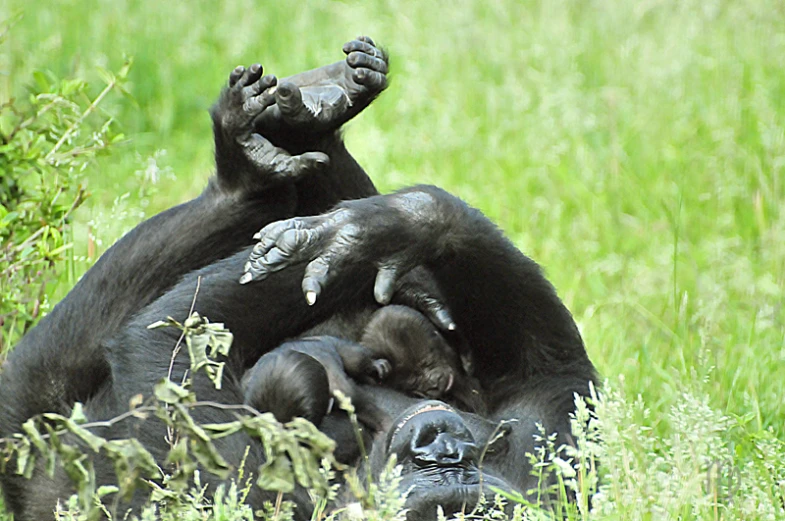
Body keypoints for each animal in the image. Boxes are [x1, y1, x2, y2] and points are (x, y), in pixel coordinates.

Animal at [0, 37, 596, 520]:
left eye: (446, 489)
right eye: (444, 470)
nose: (442, 449)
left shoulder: (257, 492)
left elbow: (173, 355)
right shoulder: (552, 427)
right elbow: (543, 353)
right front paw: (376, 231)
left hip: (30, 438)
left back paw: (244, 184)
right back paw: (296, 129)